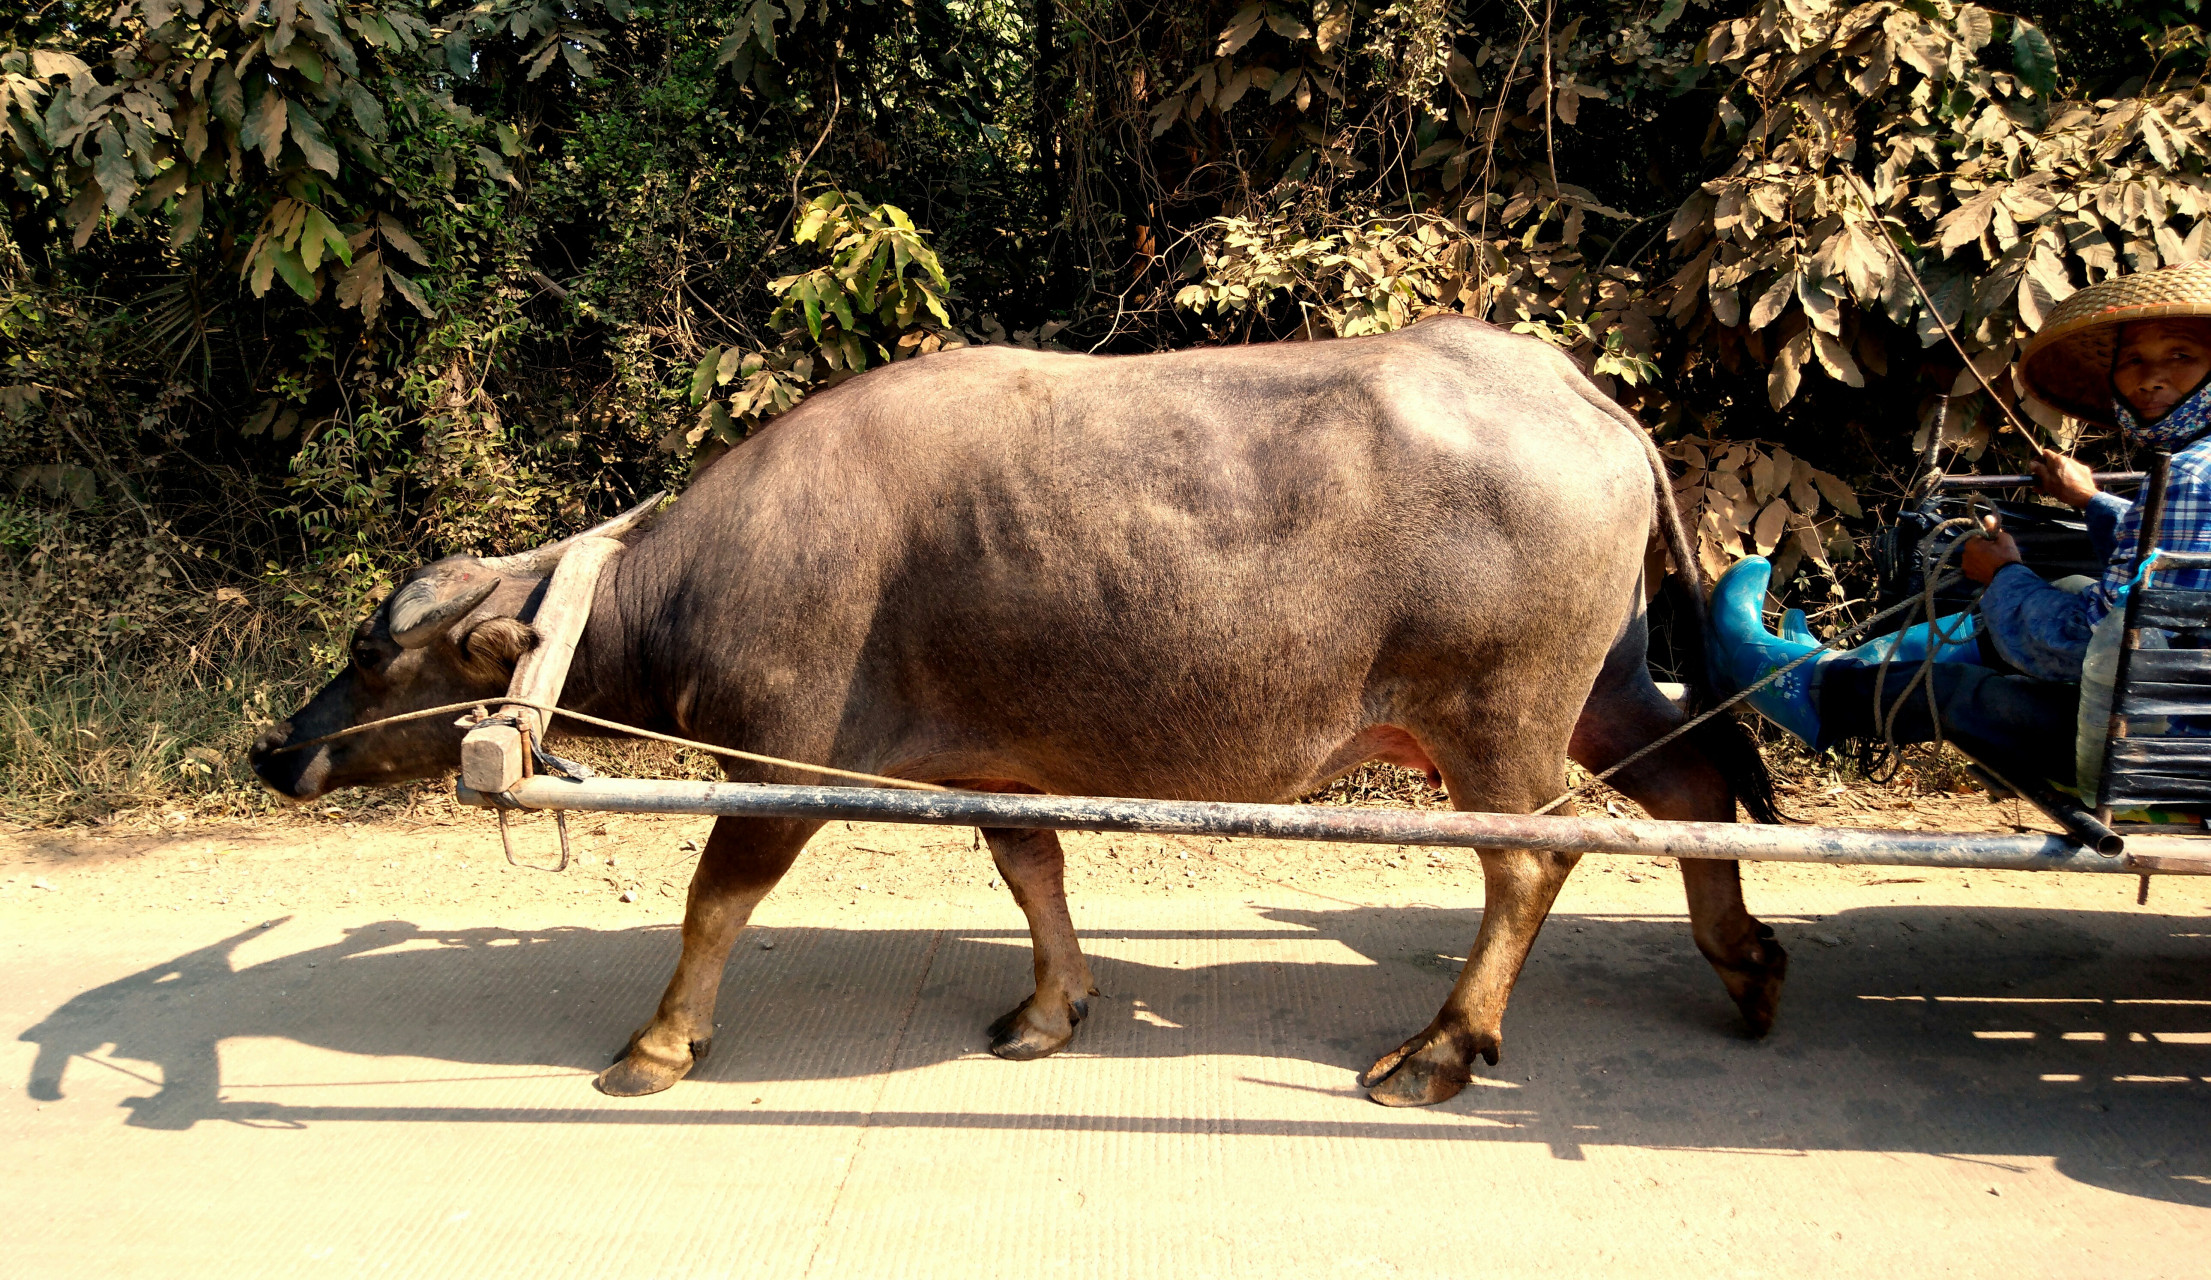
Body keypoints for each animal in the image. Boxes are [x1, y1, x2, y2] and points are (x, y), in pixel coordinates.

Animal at [254, 316, 1777, 1105]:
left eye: (374, 655)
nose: (278, 747)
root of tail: (1579, 391)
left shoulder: (781, 760)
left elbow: (715, 900)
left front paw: (658, 1042)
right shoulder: (997, 765)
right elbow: (1029, 866)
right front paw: (1054, 1006)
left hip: (1497, 722)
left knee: (1529, 861)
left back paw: (1442, 1051)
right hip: (1601, 688)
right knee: (1694, 785)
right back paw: (1744, 962)